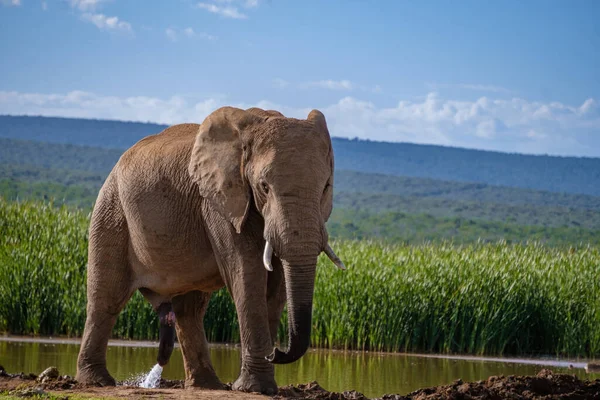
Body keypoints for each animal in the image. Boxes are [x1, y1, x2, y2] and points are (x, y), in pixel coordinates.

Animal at [75, 105, 346, 394]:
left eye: (326, 187)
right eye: (264, 187)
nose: (277, 352)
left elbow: (277, 285)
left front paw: (261, 384)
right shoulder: (218, 202)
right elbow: (246, 273)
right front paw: (254, 388)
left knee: (189, 309)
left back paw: (207, 385)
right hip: (111, 210)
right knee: (106, 298)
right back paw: (97, 381)